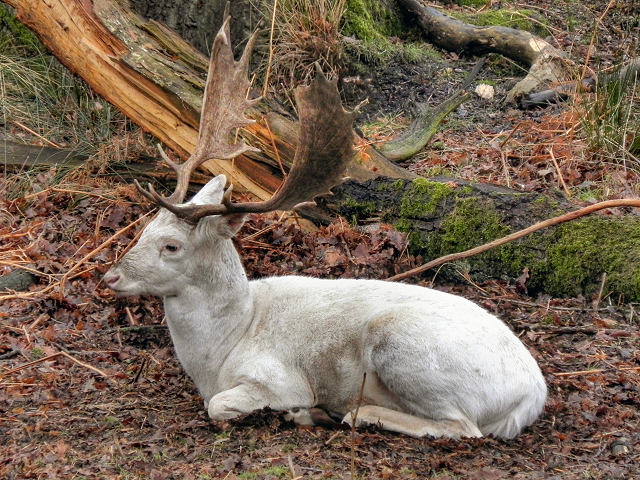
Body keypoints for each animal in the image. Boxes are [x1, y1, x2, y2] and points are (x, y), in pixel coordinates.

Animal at [104, 15, 544, 438]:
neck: (222, 351)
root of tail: (533, 395)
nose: (110, 276)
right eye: (145, 228)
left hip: (402, 346)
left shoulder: (280, 378)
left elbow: (219, 406)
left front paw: (291, 410)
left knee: (462, 427)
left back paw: (349, 414)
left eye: (172, 245)